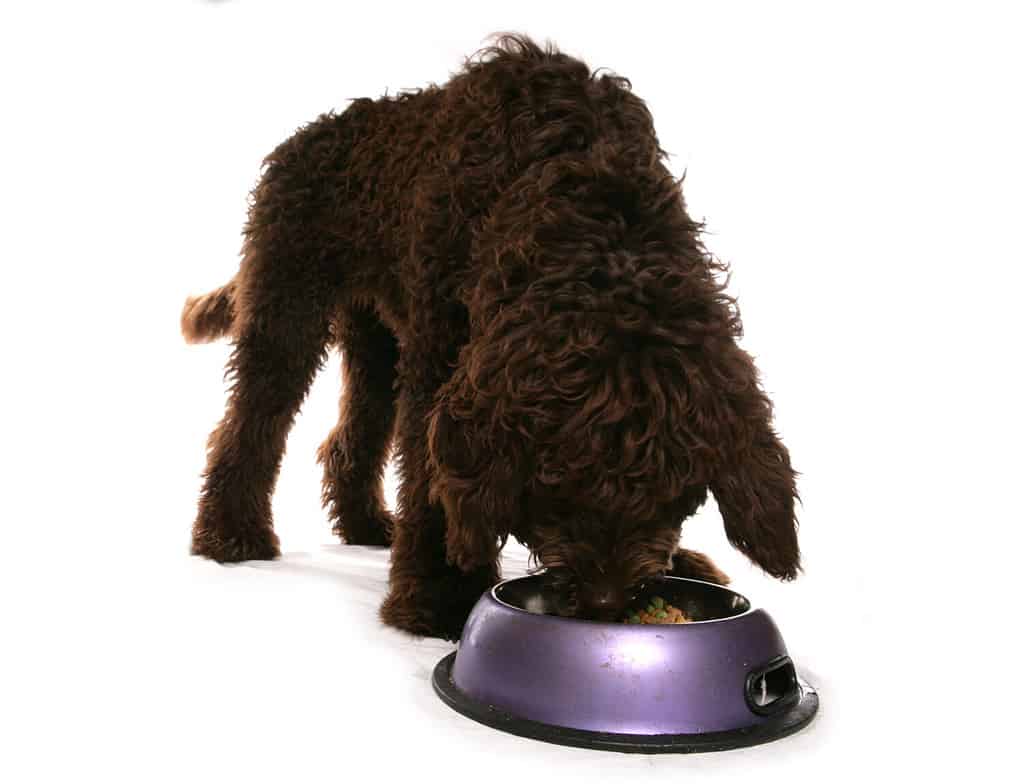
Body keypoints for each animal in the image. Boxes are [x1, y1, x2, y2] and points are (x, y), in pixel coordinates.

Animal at [186, 33, 806, 642]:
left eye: (672, 491)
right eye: (555, 486)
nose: (605, 604)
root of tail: (305, 136)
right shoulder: (441, 354)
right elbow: (433, 480)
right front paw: (443, 593)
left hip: (377, 340)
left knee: (353, 430)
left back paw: (364, 522)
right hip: (286, 303)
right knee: (252, 420)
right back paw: (230, 534)